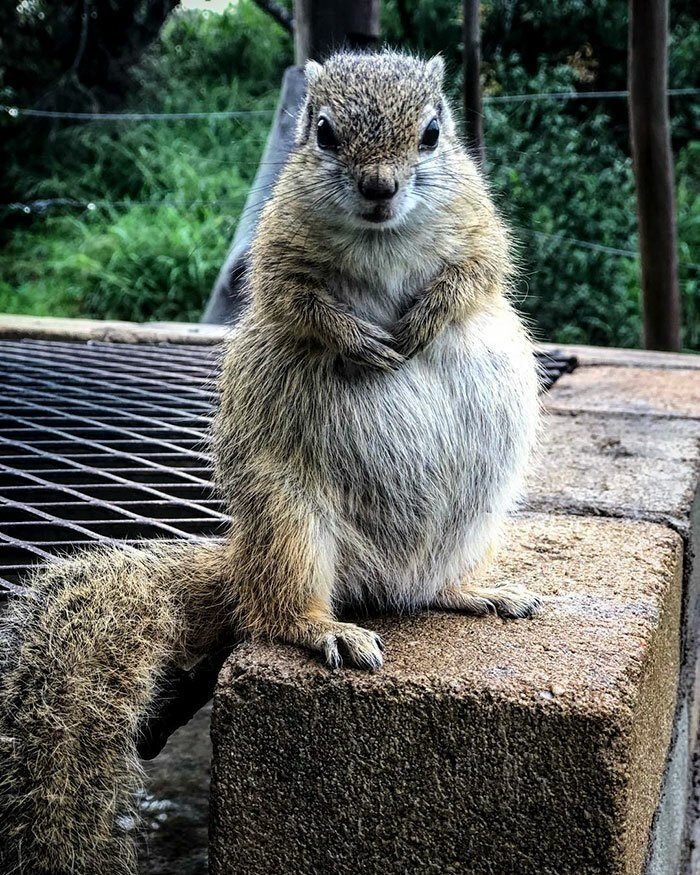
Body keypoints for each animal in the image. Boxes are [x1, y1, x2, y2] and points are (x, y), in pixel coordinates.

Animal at [0, 51, 540, 872]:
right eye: (323, 133)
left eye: (432, 134)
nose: (380, 188)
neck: (382, 239)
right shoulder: (276, 252)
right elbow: (295, 301)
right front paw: (355, 340)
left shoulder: (481, 229)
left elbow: (478, 272)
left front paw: (423, 318)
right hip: (290, 521)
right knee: (275, 610)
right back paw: (324, 628)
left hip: (470, 518)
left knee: (429, 586)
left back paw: (474, 593)